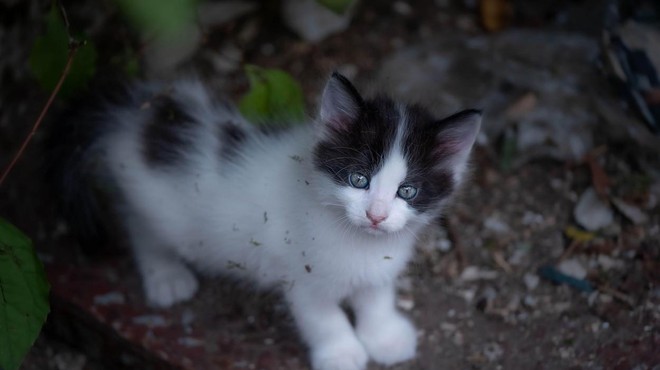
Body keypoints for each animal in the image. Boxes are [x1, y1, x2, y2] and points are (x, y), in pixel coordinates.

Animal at [46, 73, 480, 370]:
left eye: (408, 191)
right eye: (359, 179)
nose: (376, 215)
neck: (356, 240)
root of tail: (135, 118)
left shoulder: (380, 265)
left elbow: (376, 298)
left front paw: (386, 339)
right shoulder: (300, 276)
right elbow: (324, 318)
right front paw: (342, 354)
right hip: (155, 205)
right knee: (140, 225)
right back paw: (166, 276)